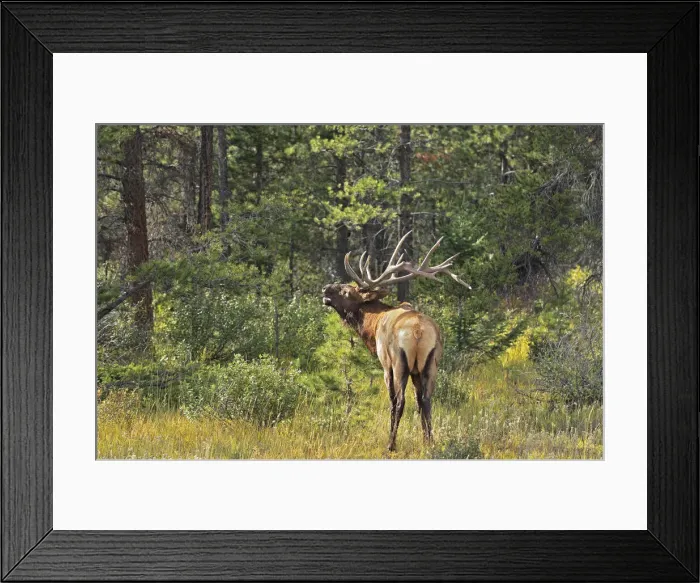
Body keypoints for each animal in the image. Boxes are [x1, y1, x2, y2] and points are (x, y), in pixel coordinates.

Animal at [322, 231, 471, 452]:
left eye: (347, 291)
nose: (325, 289)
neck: (372, 326)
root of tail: (418, 331)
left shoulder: (386, 365)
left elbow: (392, 401)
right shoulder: (418, 370)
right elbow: (419, 402)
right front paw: (425, 439)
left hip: (400, 362)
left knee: (400, 401)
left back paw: (390, 444)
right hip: (431, 363)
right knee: (426, 400)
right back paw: (430, 442)